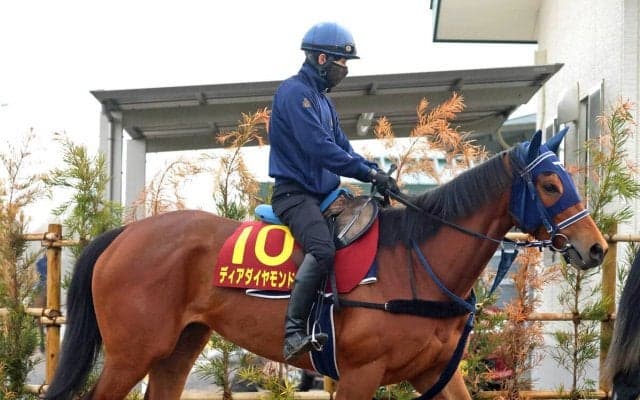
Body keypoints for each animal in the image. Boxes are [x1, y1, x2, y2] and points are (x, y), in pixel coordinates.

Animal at [44, 129, 607, 400]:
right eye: (550, 184)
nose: (596, 247)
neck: (416, 263)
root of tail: (124, 234)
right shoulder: (358, 376)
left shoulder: (437, 374)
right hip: (131, 354)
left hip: (175, 350)